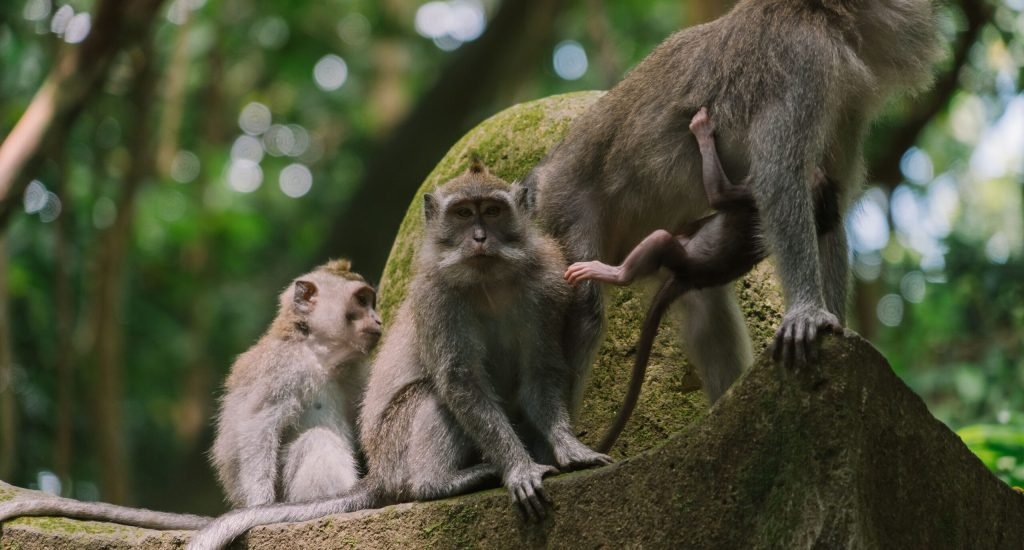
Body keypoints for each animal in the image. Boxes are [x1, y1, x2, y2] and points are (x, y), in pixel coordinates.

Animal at [0, 260, 381, 530]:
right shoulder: (283, 369)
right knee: (315, 440)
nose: (378, 319)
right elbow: (257, 426)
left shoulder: (357, 372)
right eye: (361, 300)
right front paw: (261, 505)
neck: (320, 354)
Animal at [186, 163, 611, 550]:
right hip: (395, 449)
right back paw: (438, 483)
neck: (488, 279)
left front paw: (570, 448)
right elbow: (459, 380)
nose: (479, 237)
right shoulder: (435, 297)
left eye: (492, 211)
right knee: (431, 394)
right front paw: (518, 467)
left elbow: (540, 369)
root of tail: (379, 472)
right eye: (462, 213)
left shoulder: (548, 285)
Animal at [523, 0, 942, 405]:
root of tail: (544, 175)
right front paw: (807, 312)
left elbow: (830, 201)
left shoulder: (845, 102)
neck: (823, 14)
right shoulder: (804, 61)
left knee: (705, 308)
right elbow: (779, 179)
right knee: (586, 311)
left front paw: (834, 324)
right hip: (566, 205)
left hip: (656, 244)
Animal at [560, 108, 840, 452]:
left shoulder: (751, 194)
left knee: (658, 242)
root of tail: (689, 280)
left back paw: (610, 271)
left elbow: (719, 196)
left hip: (674, 255)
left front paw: (702, 130)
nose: (817, 166)